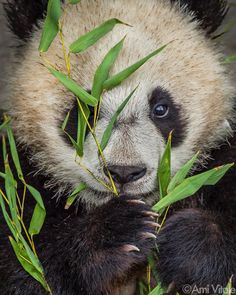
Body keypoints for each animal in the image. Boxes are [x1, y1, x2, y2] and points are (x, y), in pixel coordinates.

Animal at [0, 0, 235, 294]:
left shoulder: (221, 162)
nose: (123, 172)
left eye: (161, 108)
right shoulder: (20, 180)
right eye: (87, 110)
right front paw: (118, 231)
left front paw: (189, 243)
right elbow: (26, 265)